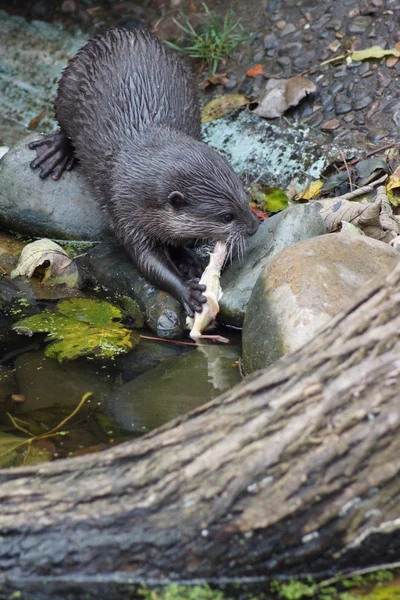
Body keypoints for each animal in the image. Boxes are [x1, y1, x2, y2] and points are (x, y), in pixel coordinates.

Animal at [28, 25, 260, 316]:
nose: (254, 227)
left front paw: (189, 259)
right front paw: (187, 290)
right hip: (68, 85)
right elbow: (147, 261)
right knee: (63, 123)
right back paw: (56, 152)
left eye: (244, 197)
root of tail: (125, 29)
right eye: (227, 216)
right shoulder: (124, 211)